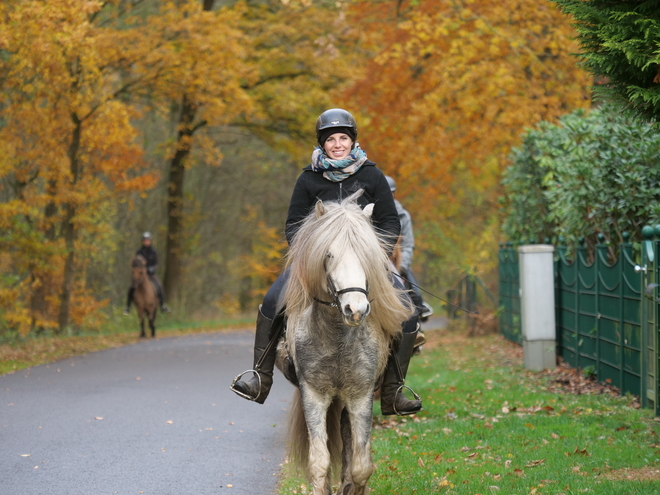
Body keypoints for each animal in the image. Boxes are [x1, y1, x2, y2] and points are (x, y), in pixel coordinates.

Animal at [274, 191, 412, 495]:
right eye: (328, 254)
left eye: (367, 256)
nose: (356, 309)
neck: (336, 335)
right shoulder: (313, 394)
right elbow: (319, 462)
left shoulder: (360, 395)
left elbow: (361, 466)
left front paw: (351, 486)